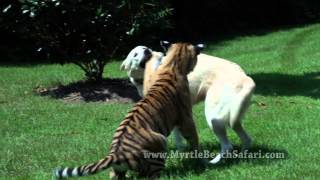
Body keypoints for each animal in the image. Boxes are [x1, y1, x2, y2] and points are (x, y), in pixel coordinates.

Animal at [120, 45, 255, 163]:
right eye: (135, 54)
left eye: (145, 48)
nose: (147, 51)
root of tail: (244, 76)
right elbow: (178, 136)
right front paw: (180, 151)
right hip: (232, 117)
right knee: (246, 139)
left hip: (214, 118)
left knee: (227, 146)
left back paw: (213, 162)